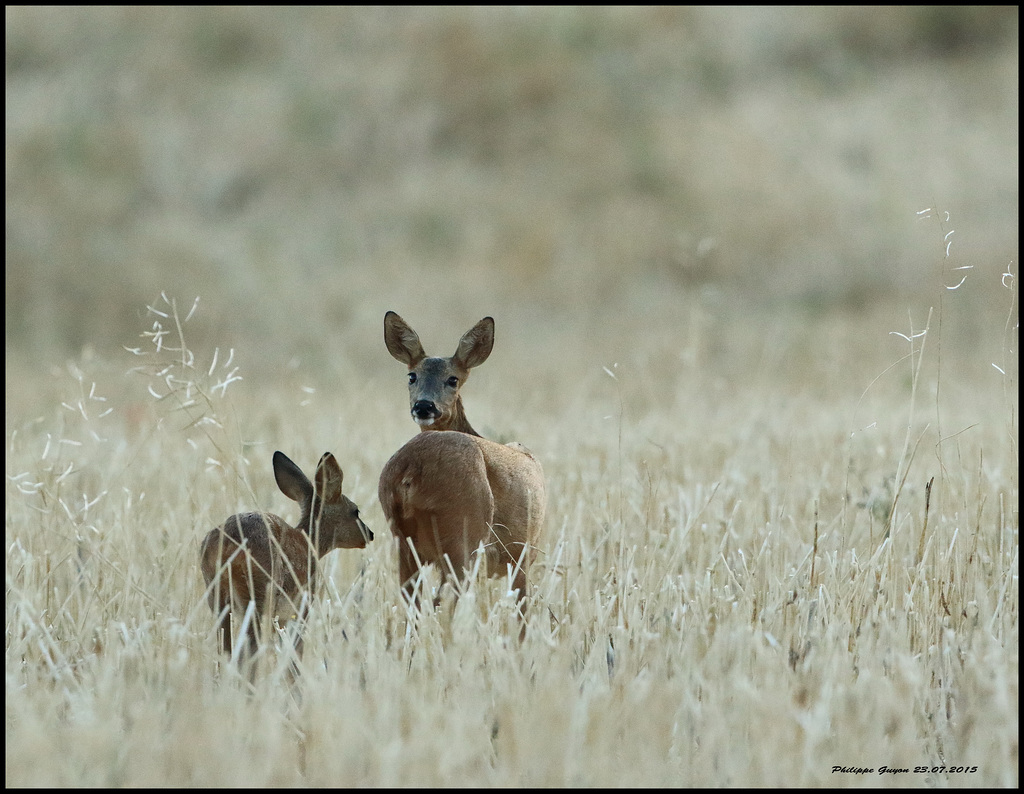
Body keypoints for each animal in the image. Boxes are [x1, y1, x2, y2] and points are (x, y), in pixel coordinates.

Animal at [197, 452, 370, 663]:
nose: (369, 534)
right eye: (355, 511)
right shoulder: (302, 605)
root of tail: (228, 544)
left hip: (217, 597)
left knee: (226, 648)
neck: (309, 543)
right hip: (260, 594)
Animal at [376, 313, 548, 610]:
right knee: (448, 598)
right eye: (412, 376)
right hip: (465, 529)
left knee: (412, 596)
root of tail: (411, 471)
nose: (424, 406)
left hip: (402, 537)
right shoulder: (523, 554)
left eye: (452, 379)